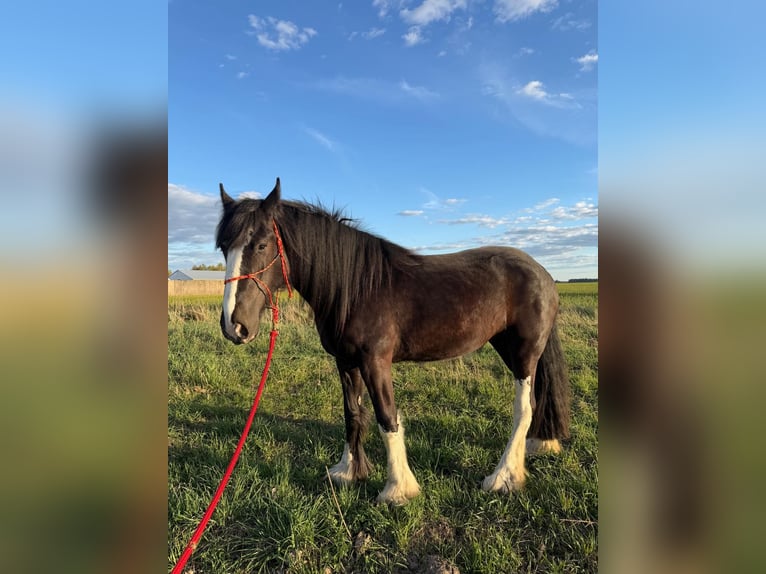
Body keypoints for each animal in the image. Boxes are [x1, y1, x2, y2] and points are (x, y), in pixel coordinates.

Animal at [215, 178, 570, 505]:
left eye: (261, 245)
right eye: (223, 248)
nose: (234, 326)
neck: (357, 288)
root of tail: (542, 273)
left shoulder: (375, 362)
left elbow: (387, 417)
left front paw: (398, 489)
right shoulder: (346, 362)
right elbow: (352, 413)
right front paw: (349, 471)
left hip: (524, 352)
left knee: (524, 407)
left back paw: (503, 476)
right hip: (507, 347)